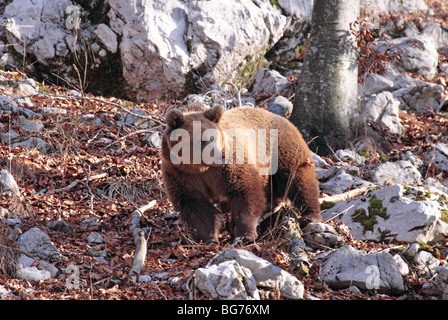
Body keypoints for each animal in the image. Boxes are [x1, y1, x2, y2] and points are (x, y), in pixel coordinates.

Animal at [163, 105, 320, 242]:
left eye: (214, 137)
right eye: (201, 140)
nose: (220, 156)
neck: (201, 168)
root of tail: (280, 117)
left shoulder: (229, 166)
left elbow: (246, 192)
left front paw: (245, 234)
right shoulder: (182, 175)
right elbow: (195, 204)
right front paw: (209, 238)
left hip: (281, 150)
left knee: (298, 180)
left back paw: (310, 215)